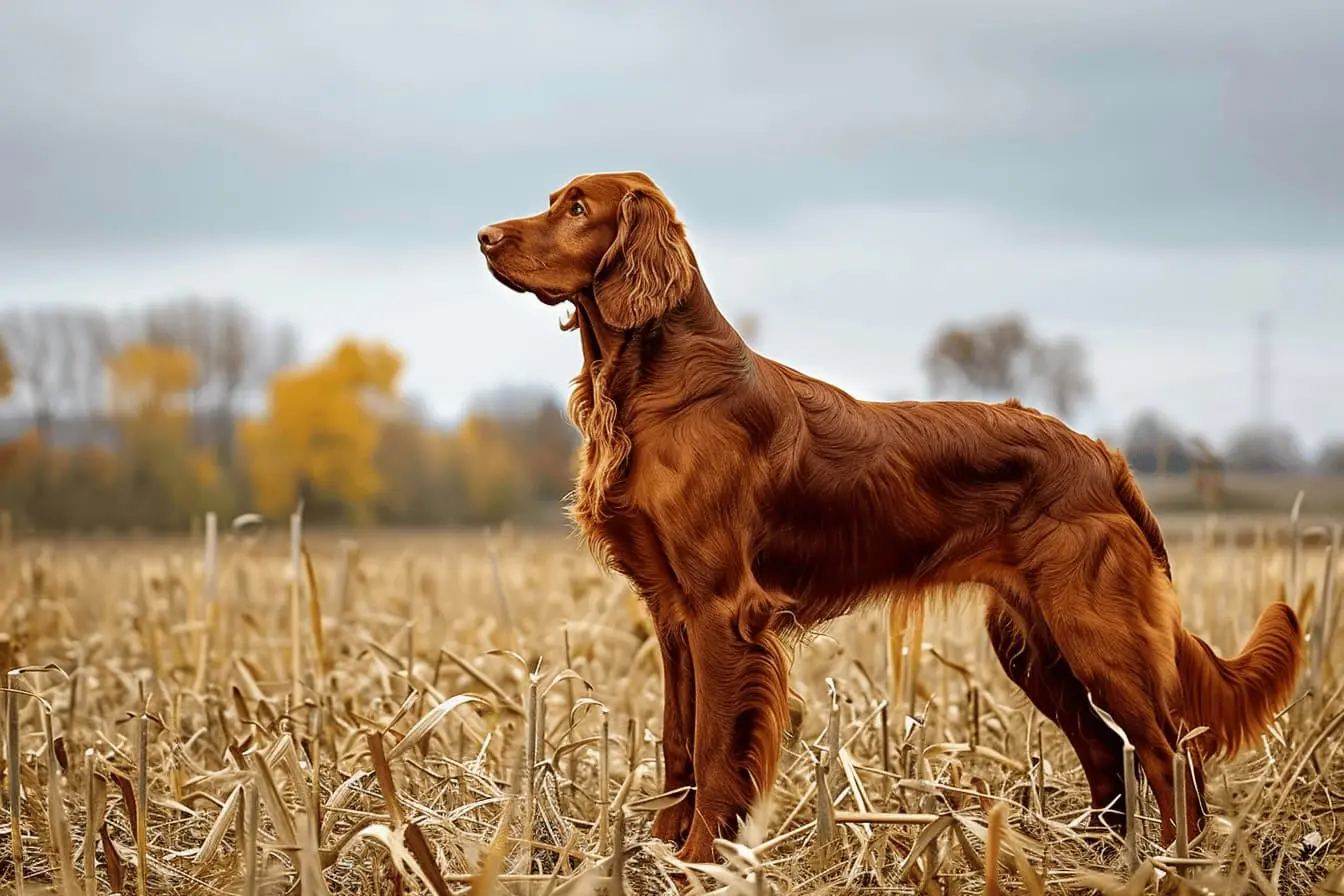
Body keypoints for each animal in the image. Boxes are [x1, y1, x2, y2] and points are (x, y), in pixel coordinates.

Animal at [478, 171, 1306, 865]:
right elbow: (675, 743)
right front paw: (654, 850)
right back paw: (1100, 861)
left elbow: (714, 750)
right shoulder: (671, 611)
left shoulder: (722, 611)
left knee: (1170, 750)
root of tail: (1103, 455)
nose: (484, 236)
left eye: (577, 208)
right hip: (1033, 644)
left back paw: (1174, 864)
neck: (657, 387)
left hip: (1095, 632)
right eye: (554, 201)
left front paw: (699, 859)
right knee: (1108, 751)